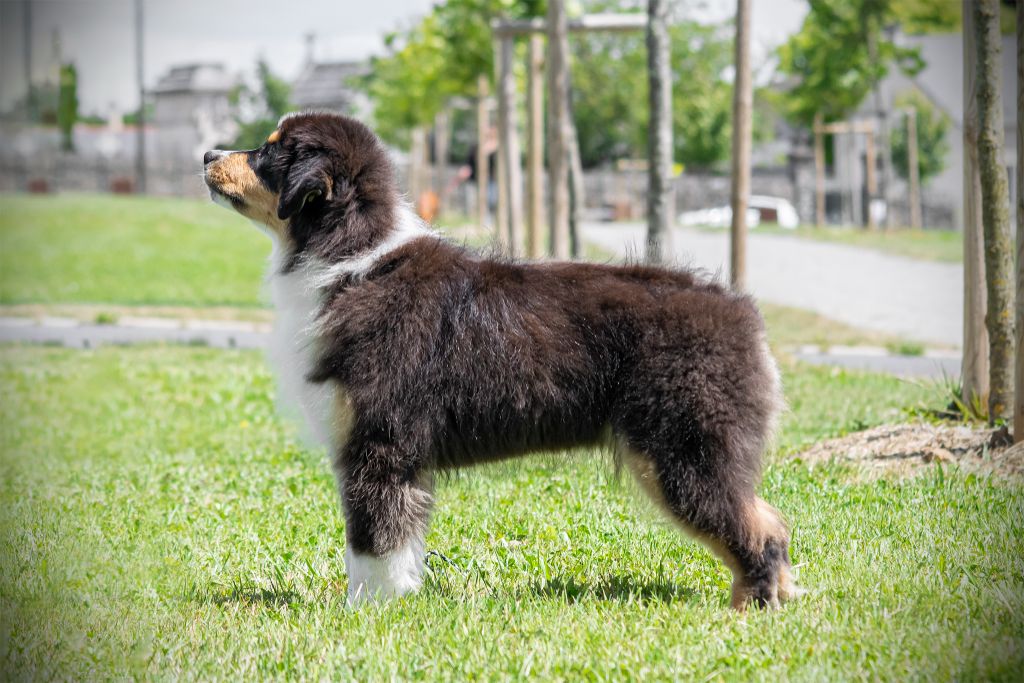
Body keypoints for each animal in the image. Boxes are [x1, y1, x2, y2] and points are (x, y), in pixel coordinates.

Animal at [201, 111, 798, 610]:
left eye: (268, 151)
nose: (206, 153)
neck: (352, 259)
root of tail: (744, 312)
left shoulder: (378, 440)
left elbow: (370, 539)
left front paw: (364, 612)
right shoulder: (399, 455)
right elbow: (401, 537)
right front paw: (398, 601)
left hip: (684, 446)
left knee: (756, 525)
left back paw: (750, 607)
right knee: (769, 517)